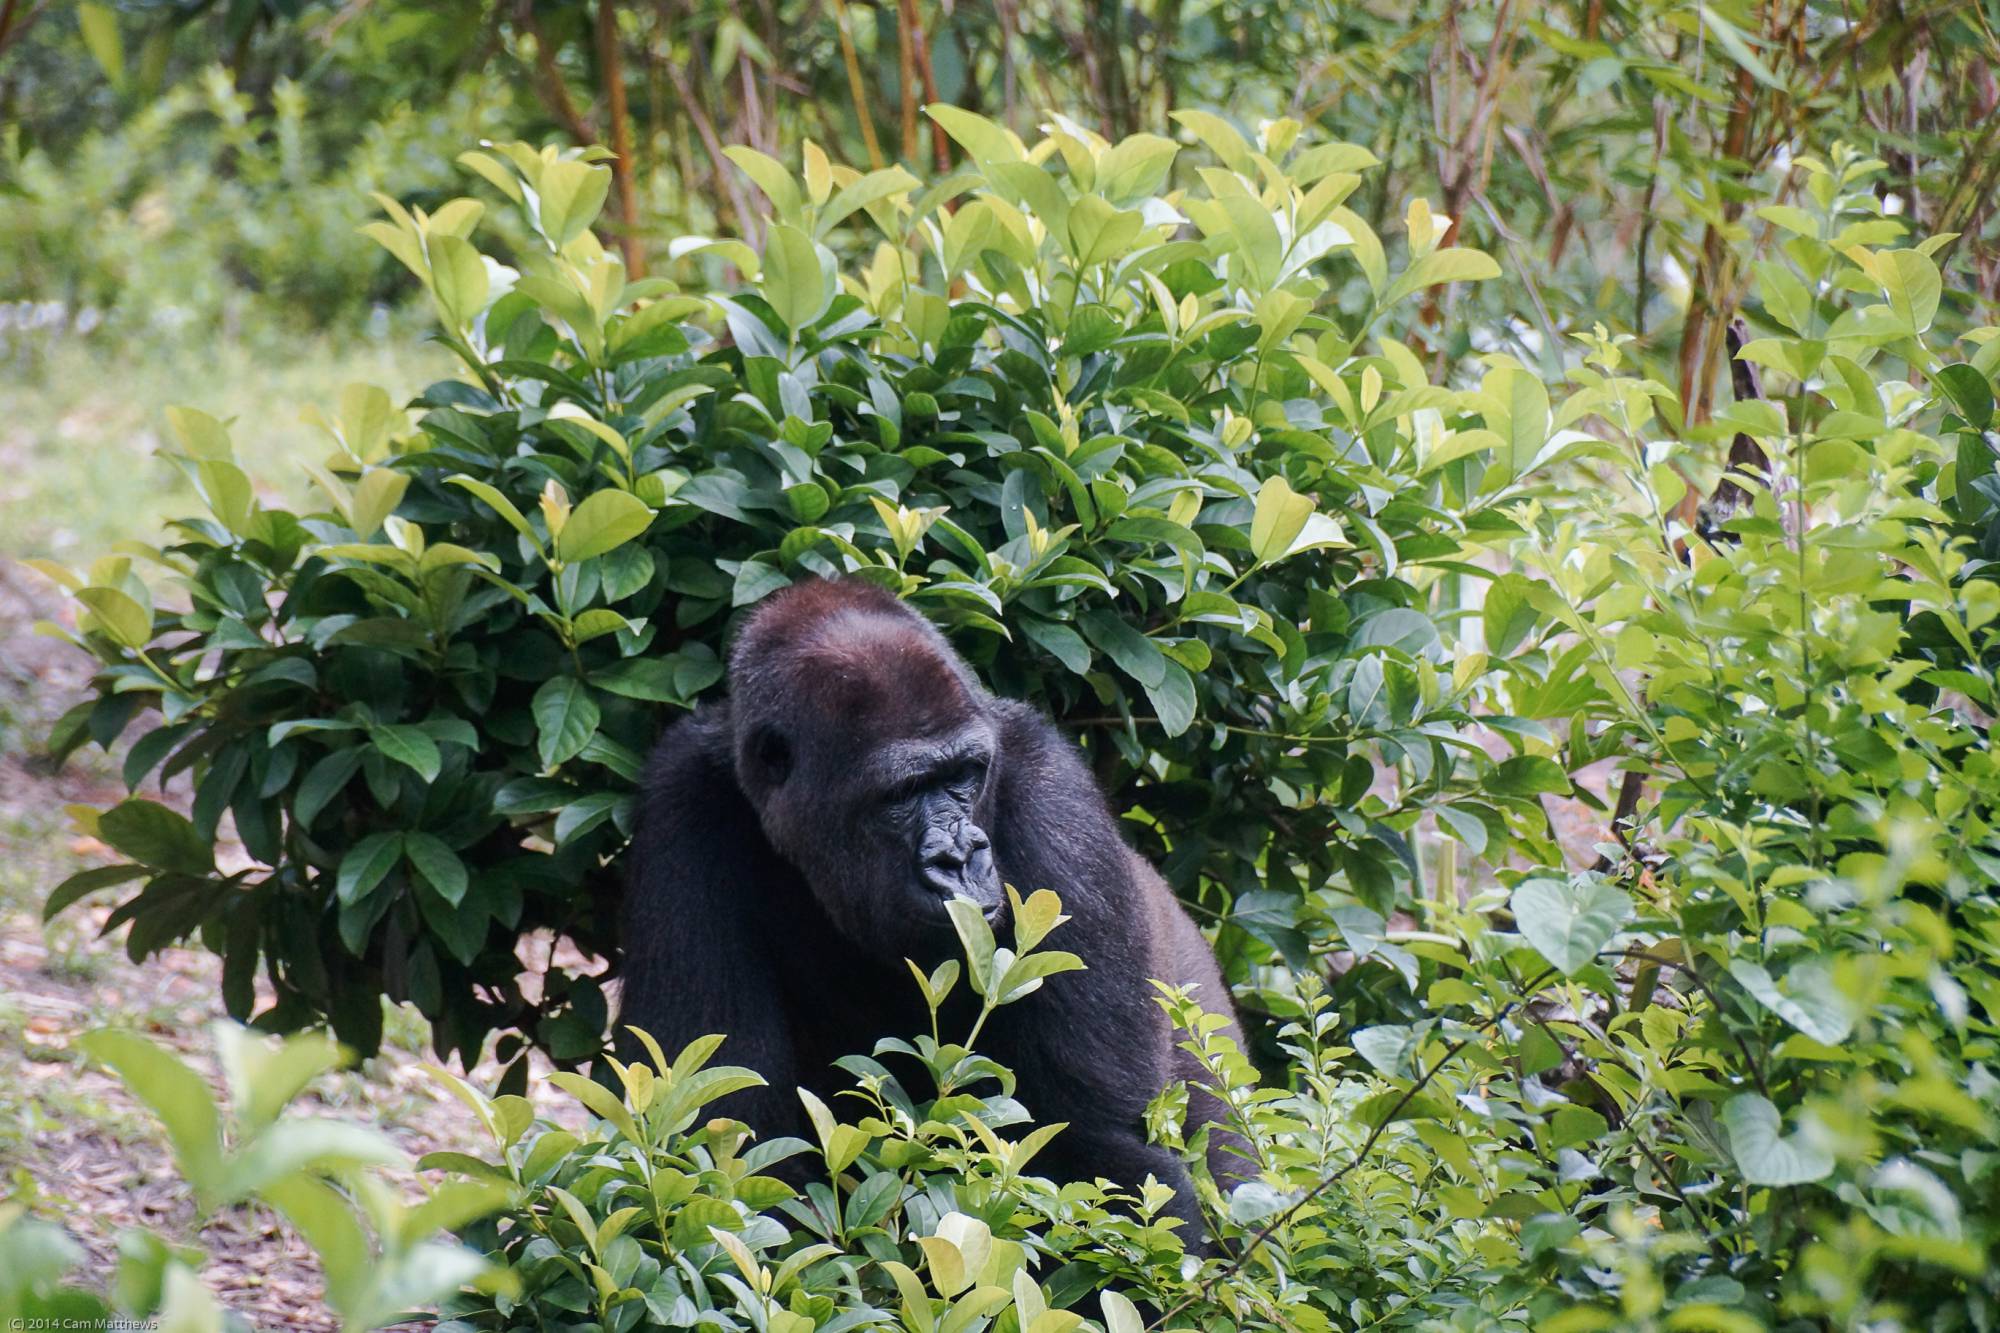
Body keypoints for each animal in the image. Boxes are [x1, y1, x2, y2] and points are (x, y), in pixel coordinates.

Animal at [624, 576, 1240, 1232]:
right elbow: (726, 1148)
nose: (961, 857)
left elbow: (1104, 1150)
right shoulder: (682, 803)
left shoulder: (1055, 799)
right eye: (900, 793)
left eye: (965, 774)